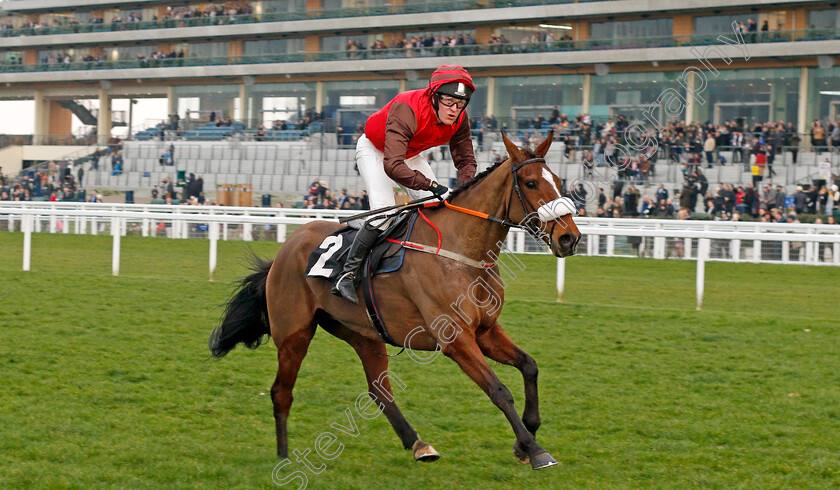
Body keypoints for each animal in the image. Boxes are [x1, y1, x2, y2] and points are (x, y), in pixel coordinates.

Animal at [208, 132, 576, 468]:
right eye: (530, 183)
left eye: (558, 181)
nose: (569, 237)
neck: (462, 252)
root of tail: (285, 249)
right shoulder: (456, 339)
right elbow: (499, 390)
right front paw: (536, 450)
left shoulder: (485, 331)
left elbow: (529, 365)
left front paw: (525, 441)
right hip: (293, 334)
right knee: (281, 391)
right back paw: (284, 457)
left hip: (362, 332)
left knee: (379, 391)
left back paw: (418, 444)